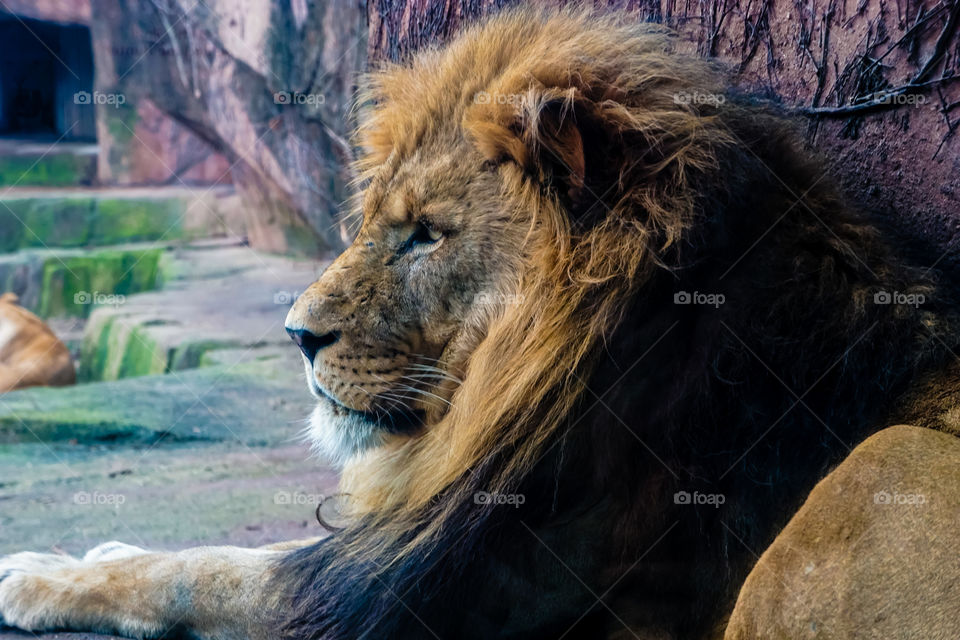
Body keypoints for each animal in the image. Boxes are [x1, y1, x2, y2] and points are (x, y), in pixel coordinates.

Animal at [1, 8, 959, 640]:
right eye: (375, 222)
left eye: (426, 234)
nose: (296, 336)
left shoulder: (441, 592)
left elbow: (210, 569)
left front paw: (40, 572)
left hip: (876, 469)